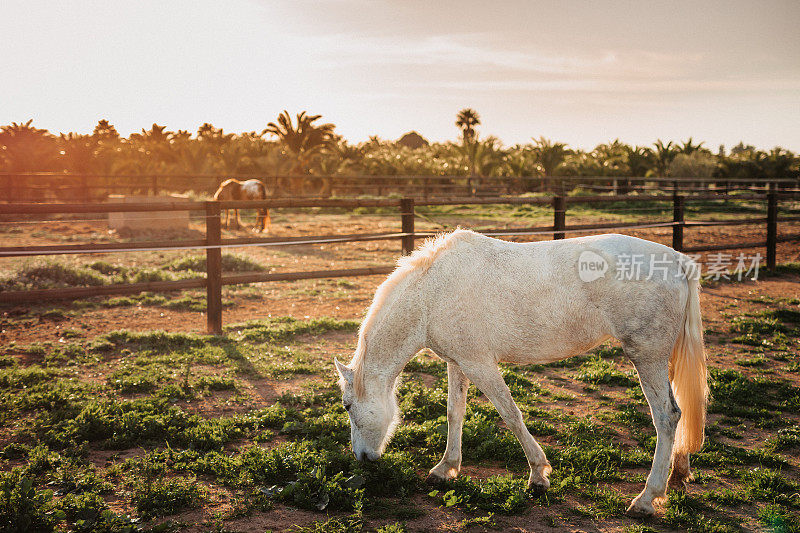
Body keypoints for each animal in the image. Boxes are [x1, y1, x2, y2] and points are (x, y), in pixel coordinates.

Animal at [334, 230, 708, 516]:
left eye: (348, 406)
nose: (362, 459)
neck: (432, 293)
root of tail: (678, 261)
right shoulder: (458, 362)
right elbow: (455, 413)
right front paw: (445, 469)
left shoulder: (480, 364)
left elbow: (510, 414)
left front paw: (538, 475)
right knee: (679, 412)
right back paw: (679, 473)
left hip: (647, 357)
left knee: (667, 417)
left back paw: (646, 499)